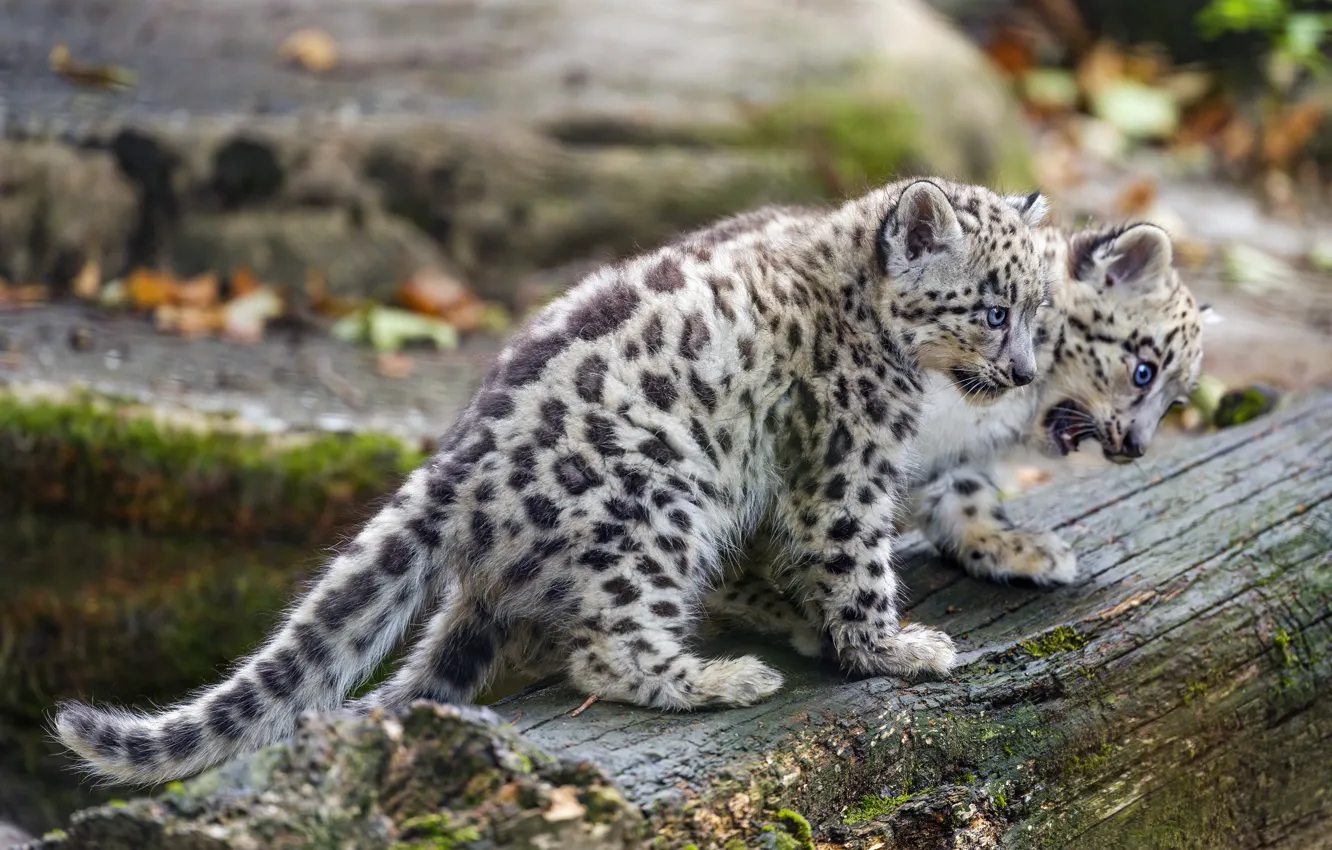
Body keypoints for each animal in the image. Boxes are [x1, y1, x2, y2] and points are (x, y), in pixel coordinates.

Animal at [52, 177, 1054, 785]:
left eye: (1042, 311)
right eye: (992, 310)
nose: (1025, 373)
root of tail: (456, 463)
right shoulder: (843, 463)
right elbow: (853, 559)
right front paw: (893, 649)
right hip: (655, 509)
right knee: (607, 651)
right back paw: (726, 678)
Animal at [701, 219, 1214, 658]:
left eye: (1176, 402)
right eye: (1145, 371)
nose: (1135, 447)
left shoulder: (950, 456)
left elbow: (968, 497)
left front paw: (1019, 548)